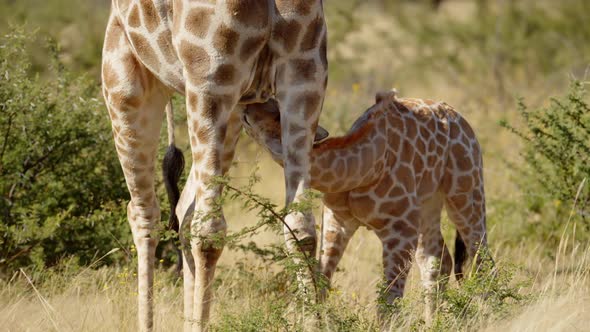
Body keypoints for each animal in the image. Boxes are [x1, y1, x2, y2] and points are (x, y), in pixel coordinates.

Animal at [243, 90, 492, 322]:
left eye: (277, 113)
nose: (247, 108)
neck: (361, 170)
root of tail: (457, 117)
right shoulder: (337, 221)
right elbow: (322, 281)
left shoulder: (400, 231)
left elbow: (388, 302)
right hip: (427, 208)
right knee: (438, 262)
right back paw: (433, 323)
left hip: (466, 194)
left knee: (481, 260)